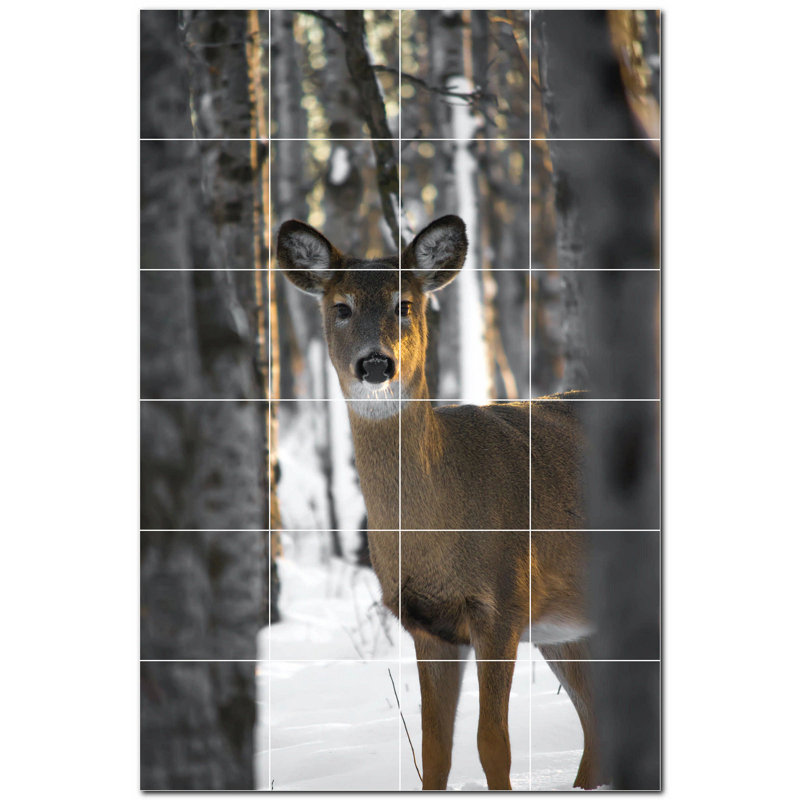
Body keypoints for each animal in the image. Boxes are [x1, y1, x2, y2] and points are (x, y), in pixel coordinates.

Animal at [277, 214, 605, 791]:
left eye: (404, 304)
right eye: (341, 307)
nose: (376, 364)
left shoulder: (503, 602)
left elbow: (492, 742)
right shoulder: (426, 624)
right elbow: (434, 750)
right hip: (566, 627)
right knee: (597, 726)